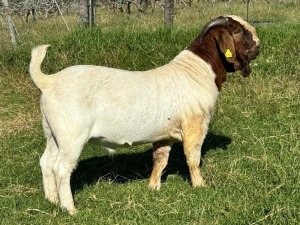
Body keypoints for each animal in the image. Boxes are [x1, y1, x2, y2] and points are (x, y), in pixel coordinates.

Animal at [29, 14, 260, 214]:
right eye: (237, 31)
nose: (258, 45)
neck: (196, 71)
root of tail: (49, 81)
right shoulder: (195, 126)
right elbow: (192, 158)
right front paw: (199, 185)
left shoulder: (165, 134)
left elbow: (160, 160)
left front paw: (153, 187)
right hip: (71, 136)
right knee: (61, 168)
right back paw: (70, 209)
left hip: (52, 133)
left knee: (46, 162)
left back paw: (52, 200)